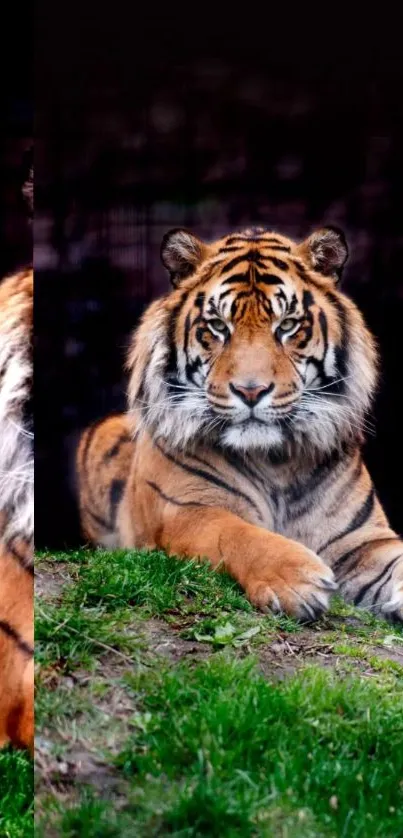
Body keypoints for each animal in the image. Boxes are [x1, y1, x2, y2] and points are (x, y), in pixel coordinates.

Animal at [76, 228, 403, 624]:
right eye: (218, 327)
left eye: (287, 325)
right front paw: (296, 580)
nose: (251, 390)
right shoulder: (184, 513)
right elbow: (236, 533)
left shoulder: (364, 540)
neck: (275, 461)